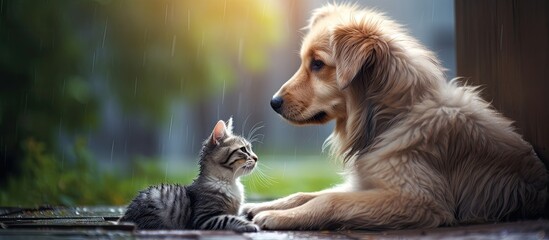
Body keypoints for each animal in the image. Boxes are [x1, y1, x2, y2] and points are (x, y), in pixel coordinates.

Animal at [119, 119, 260, 232]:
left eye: (251, 148)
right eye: (243, 150)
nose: (256, 158)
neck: (229, 182)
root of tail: (125, 217)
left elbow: (236, 215)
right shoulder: (204, 217)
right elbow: (228, 218)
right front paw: (249, 224)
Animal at [244, 3, 548, 229]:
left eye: (317, 64)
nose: (273, 102)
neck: (393, 118)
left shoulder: (419, 199)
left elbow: (328, 201)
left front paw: (280, 216)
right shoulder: (366, 183)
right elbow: (309, 193)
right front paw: (264, 205)